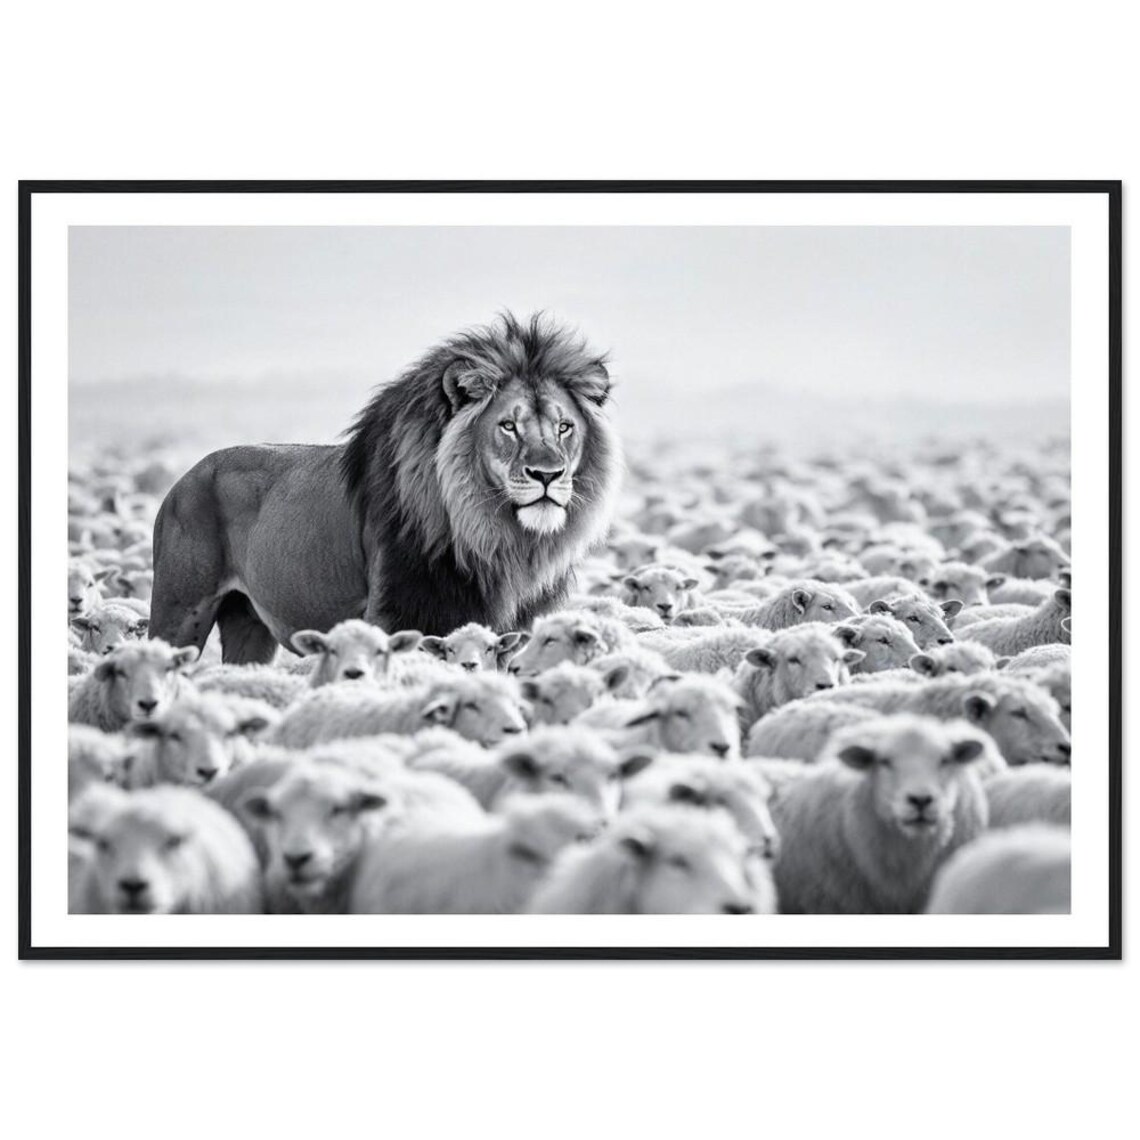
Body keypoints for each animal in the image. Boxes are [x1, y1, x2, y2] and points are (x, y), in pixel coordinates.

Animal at [149, 314, 622, 661]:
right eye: (508, 426)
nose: (548, 474)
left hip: (249, 624)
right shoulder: (398, 615)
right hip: (179, 612)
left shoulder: (511, 631)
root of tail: (183, 479)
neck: (493, 539)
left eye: (564, 427)